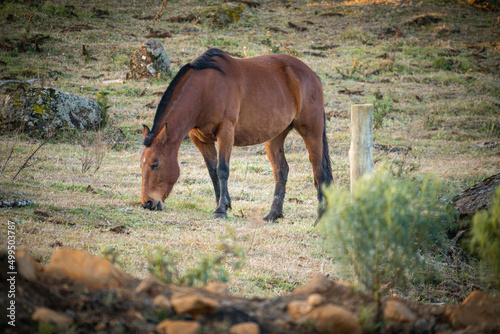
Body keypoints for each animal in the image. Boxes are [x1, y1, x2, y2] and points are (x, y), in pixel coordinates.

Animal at [141, 48, 334, 220]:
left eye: (155, 164)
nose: (147, 203)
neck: (205, 90)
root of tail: (310, 74)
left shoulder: (226, 132)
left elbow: (222, 170)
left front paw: (221, 209)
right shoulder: (201, 140)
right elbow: (213, 172)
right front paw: (221, 203)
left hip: (311, 131)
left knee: (319, 170)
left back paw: (321, 216)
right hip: (275, 137)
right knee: (281, 171)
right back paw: (273, 214)